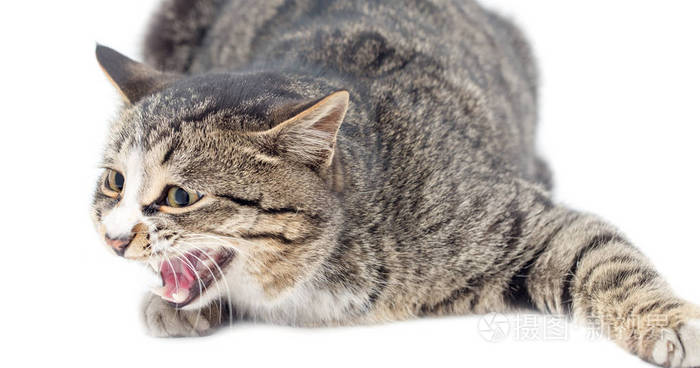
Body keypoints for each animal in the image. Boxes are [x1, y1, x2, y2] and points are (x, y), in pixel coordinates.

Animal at [91, 0, 700, 366]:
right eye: (115, 183)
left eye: (180, 197)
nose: (115, 240)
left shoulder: (515, 217)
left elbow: (604, 259)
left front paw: (670, 322)